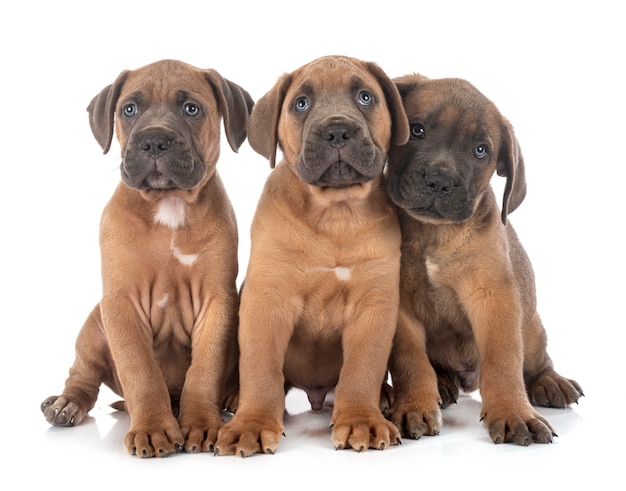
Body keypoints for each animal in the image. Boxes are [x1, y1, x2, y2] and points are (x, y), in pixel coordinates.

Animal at [40, 59, 254, 460]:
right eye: (129, 109)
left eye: (191, 109)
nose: (154, 140)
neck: (168, 205)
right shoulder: (121, 303)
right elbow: (141, 371)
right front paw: (153, 428)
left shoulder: (217, 302)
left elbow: (205, 369)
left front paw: (201, 422)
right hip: (93, 327)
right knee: (83, 378)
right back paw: (66, 403)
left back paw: (231, 397)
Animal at [214, 54, 410, 458]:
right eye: (301, 104)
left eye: (366, 97)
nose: (337, 131)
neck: (335, 214)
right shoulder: (266, 301)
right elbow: (261, 368)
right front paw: (252, 423)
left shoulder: (373, 305)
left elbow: (362, 369)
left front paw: (361, 418)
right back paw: (235, 395)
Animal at [382, 73, 584, 446]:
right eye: (417, 130)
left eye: (480, 150)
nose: (439, 181)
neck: (435, 235)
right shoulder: (400, 305)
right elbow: (412, 362)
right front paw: (414, 404)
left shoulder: (494, 298)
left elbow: (503, 362)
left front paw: (513, 412)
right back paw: (442, 384)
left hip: (531, 328)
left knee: (536, 363)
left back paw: (550, 381)